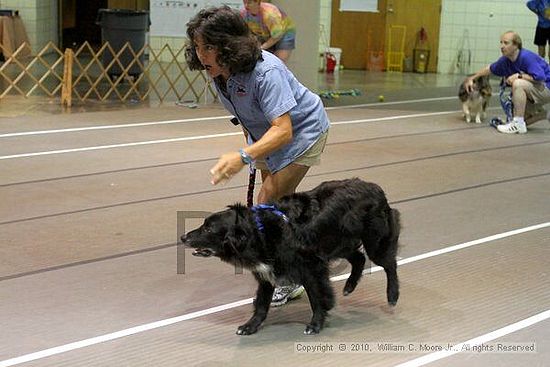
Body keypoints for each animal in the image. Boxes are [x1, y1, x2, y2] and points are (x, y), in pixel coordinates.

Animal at [183, 179, 404, 336]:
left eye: (208, 228)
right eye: (204, 224)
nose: (183, 237)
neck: (260, 232)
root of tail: (375, 188)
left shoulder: (312, 269)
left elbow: (317, 298)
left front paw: (316, 323)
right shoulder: (266, 275)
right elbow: (261, 305)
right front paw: (250, 326)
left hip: (374, 242)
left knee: (389, 264)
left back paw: (392, 295)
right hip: (339, 242)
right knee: (359, 258)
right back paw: (349, 286)